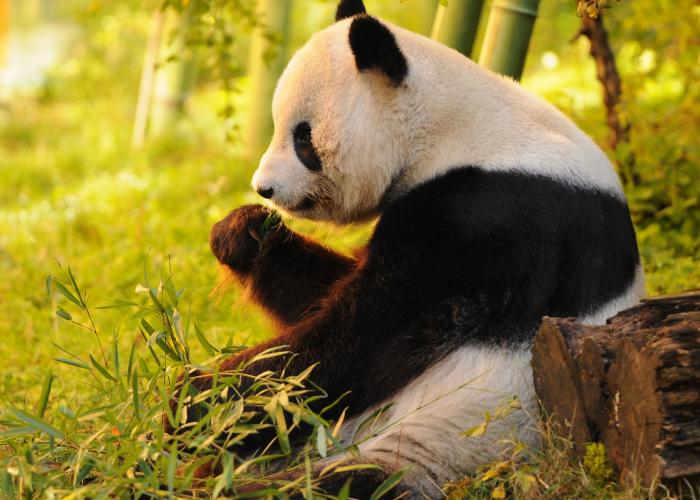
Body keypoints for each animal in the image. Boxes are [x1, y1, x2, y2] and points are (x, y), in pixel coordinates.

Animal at [197, 0, 645, 496]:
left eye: (302, 138)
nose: (265, 188)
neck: (453, 126)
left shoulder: (486, 215)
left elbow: (362, 340)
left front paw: (193, 399)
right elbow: (325, 297)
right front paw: (243, 234)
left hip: (449, 446)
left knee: (347, 481)